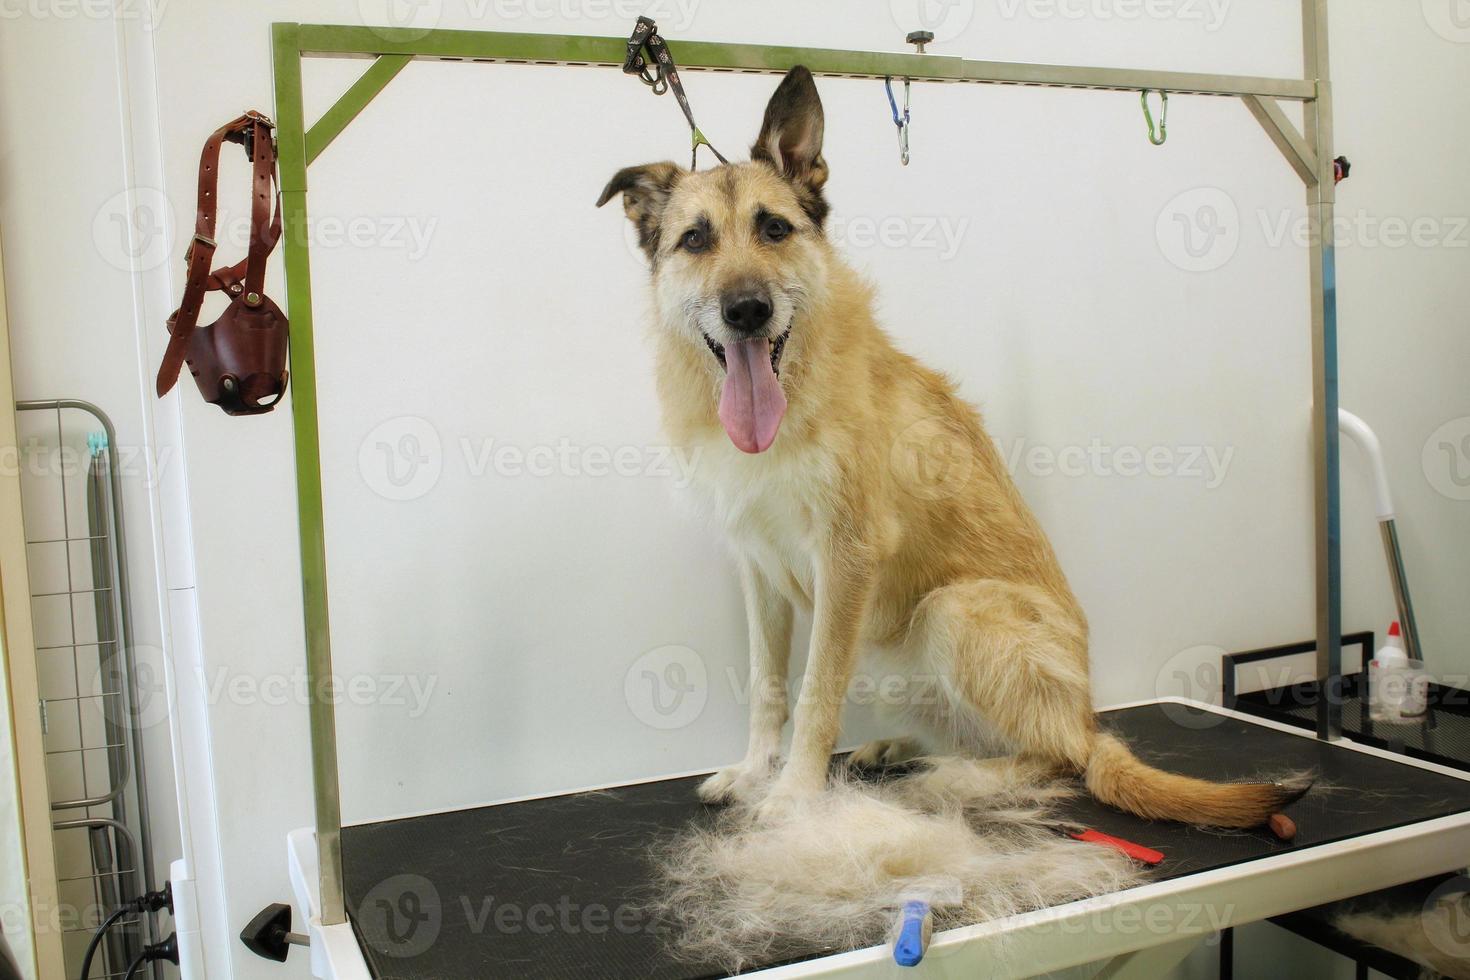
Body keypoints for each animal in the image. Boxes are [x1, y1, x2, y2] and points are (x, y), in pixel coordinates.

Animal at [602, 65, 1305, 828]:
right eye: (696, 240)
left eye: (774, 229)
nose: (748, 312)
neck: (792, 394)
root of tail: (1088, 714)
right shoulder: (759, 571)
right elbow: (767, 686)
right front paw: (757, 771)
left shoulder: (846, 558)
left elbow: (816, 693)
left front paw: (794, 795)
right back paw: (902, 750)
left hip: (952, 611)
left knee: (1061, 758)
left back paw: (950, 780)